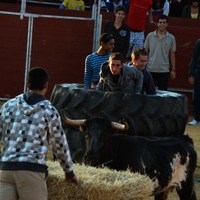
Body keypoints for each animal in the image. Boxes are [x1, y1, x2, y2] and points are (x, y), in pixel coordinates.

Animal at [63, 116, 197, 199]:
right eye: (87, 134)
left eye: (105, 135)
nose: (91, 156)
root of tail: (185, 140)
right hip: (163, 189)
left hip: (186, 185)